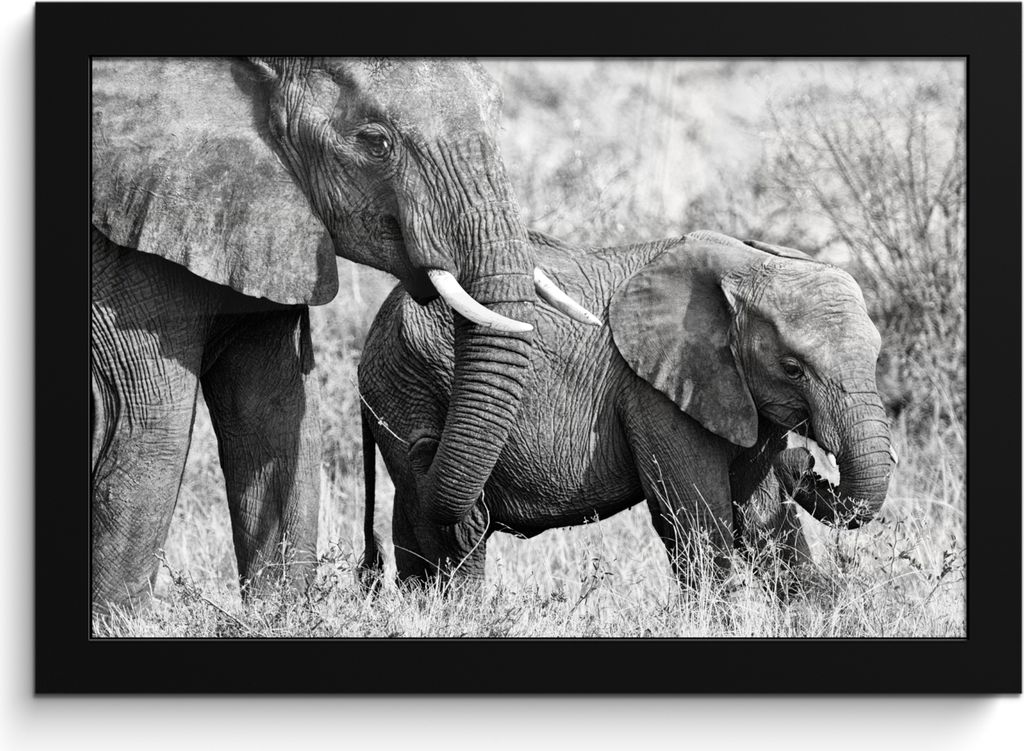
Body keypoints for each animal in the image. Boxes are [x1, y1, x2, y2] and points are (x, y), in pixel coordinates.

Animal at [90, 57, 596, 614]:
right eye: (375, 142)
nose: (422, 444)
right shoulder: (126, 252)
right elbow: (147, 425)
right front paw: (120, 623)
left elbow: (276, 414)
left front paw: (278, 615)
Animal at [356, 229, 896, 591]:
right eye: (792, 368)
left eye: (877, 355)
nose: (805, 462)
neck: (747, 263)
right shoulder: (655, 391)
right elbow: (698, 521)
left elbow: (766, 516)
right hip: (408, 388)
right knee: (456, 533)